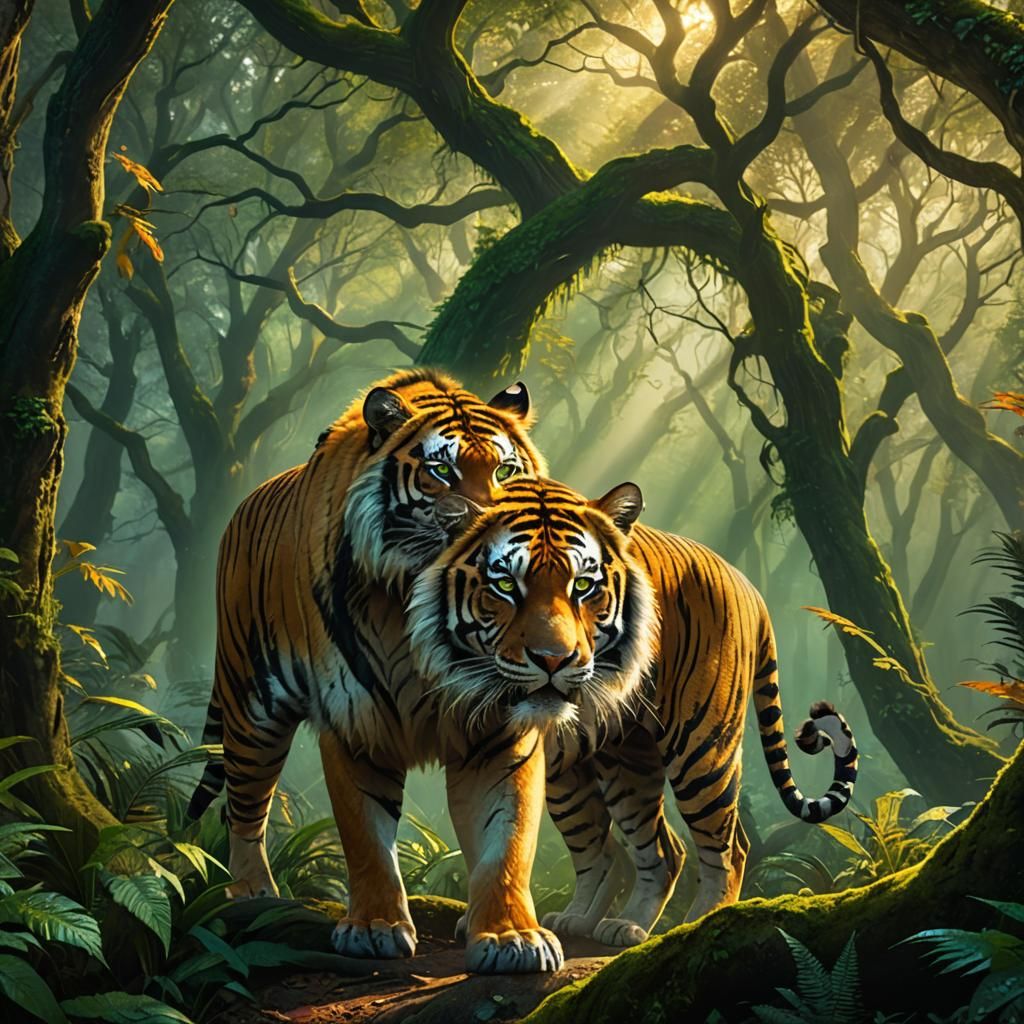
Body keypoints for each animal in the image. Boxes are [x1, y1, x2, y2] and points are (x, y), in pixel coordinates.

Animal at [185, 369, 594, 974]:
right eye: (441, 471)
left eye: (506, 471)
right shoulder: (355, 721)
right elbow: (365, 837)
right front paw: (375, 928)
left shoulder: (502, 729)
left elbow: (507, 839)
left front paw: (511, 935)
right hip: (250, 709)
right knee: (244, 804)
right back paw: (252, 892)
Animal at [407, 476, 859, 947]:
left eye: (583, 586)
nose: (553, 659)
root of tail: (746, 584)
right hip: (610, 766)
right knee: (637, 852)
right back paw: (595, 921)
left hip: (700, 749)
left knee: (726, 849)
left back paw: (694, 925)